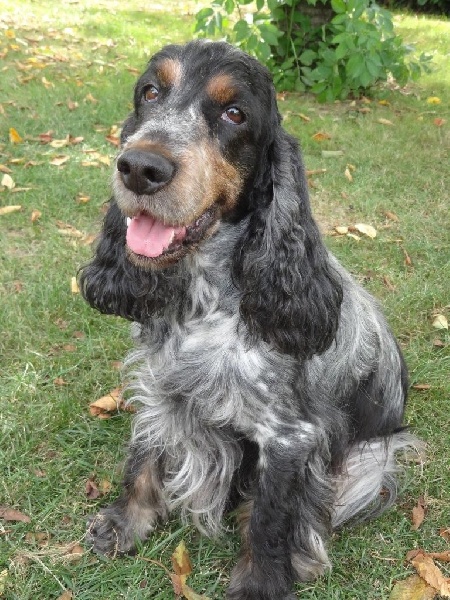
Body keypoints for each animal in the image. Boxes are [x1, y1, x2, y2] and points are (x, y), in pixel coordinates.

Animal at [80, 40, 419, 600]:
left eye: (234, 114)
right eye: (150, 92)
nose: (139, 167)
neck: (204, 298)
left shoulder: (288, 437)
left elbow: (269, 518)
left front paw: (261, 583)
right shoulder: (161, 389)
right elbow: (143, 458)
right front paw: (124, 523)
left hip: (370, 461)